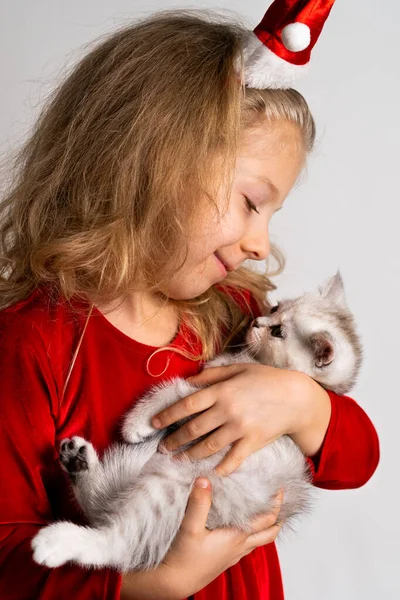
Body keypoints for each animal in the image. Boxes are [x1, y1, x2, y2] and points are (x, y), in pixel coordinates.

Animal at [32, 272, 362, 572]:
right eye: (274, 308)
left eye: (278, 331)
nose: (256, 322)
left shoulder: (210, 394)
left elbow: (176, 390)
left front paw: (136, 421)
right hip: (141, 464)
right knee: (102, 506)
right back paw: (78, 464)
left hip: (170, 484)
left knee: (120, 544)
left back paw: (58, 541)